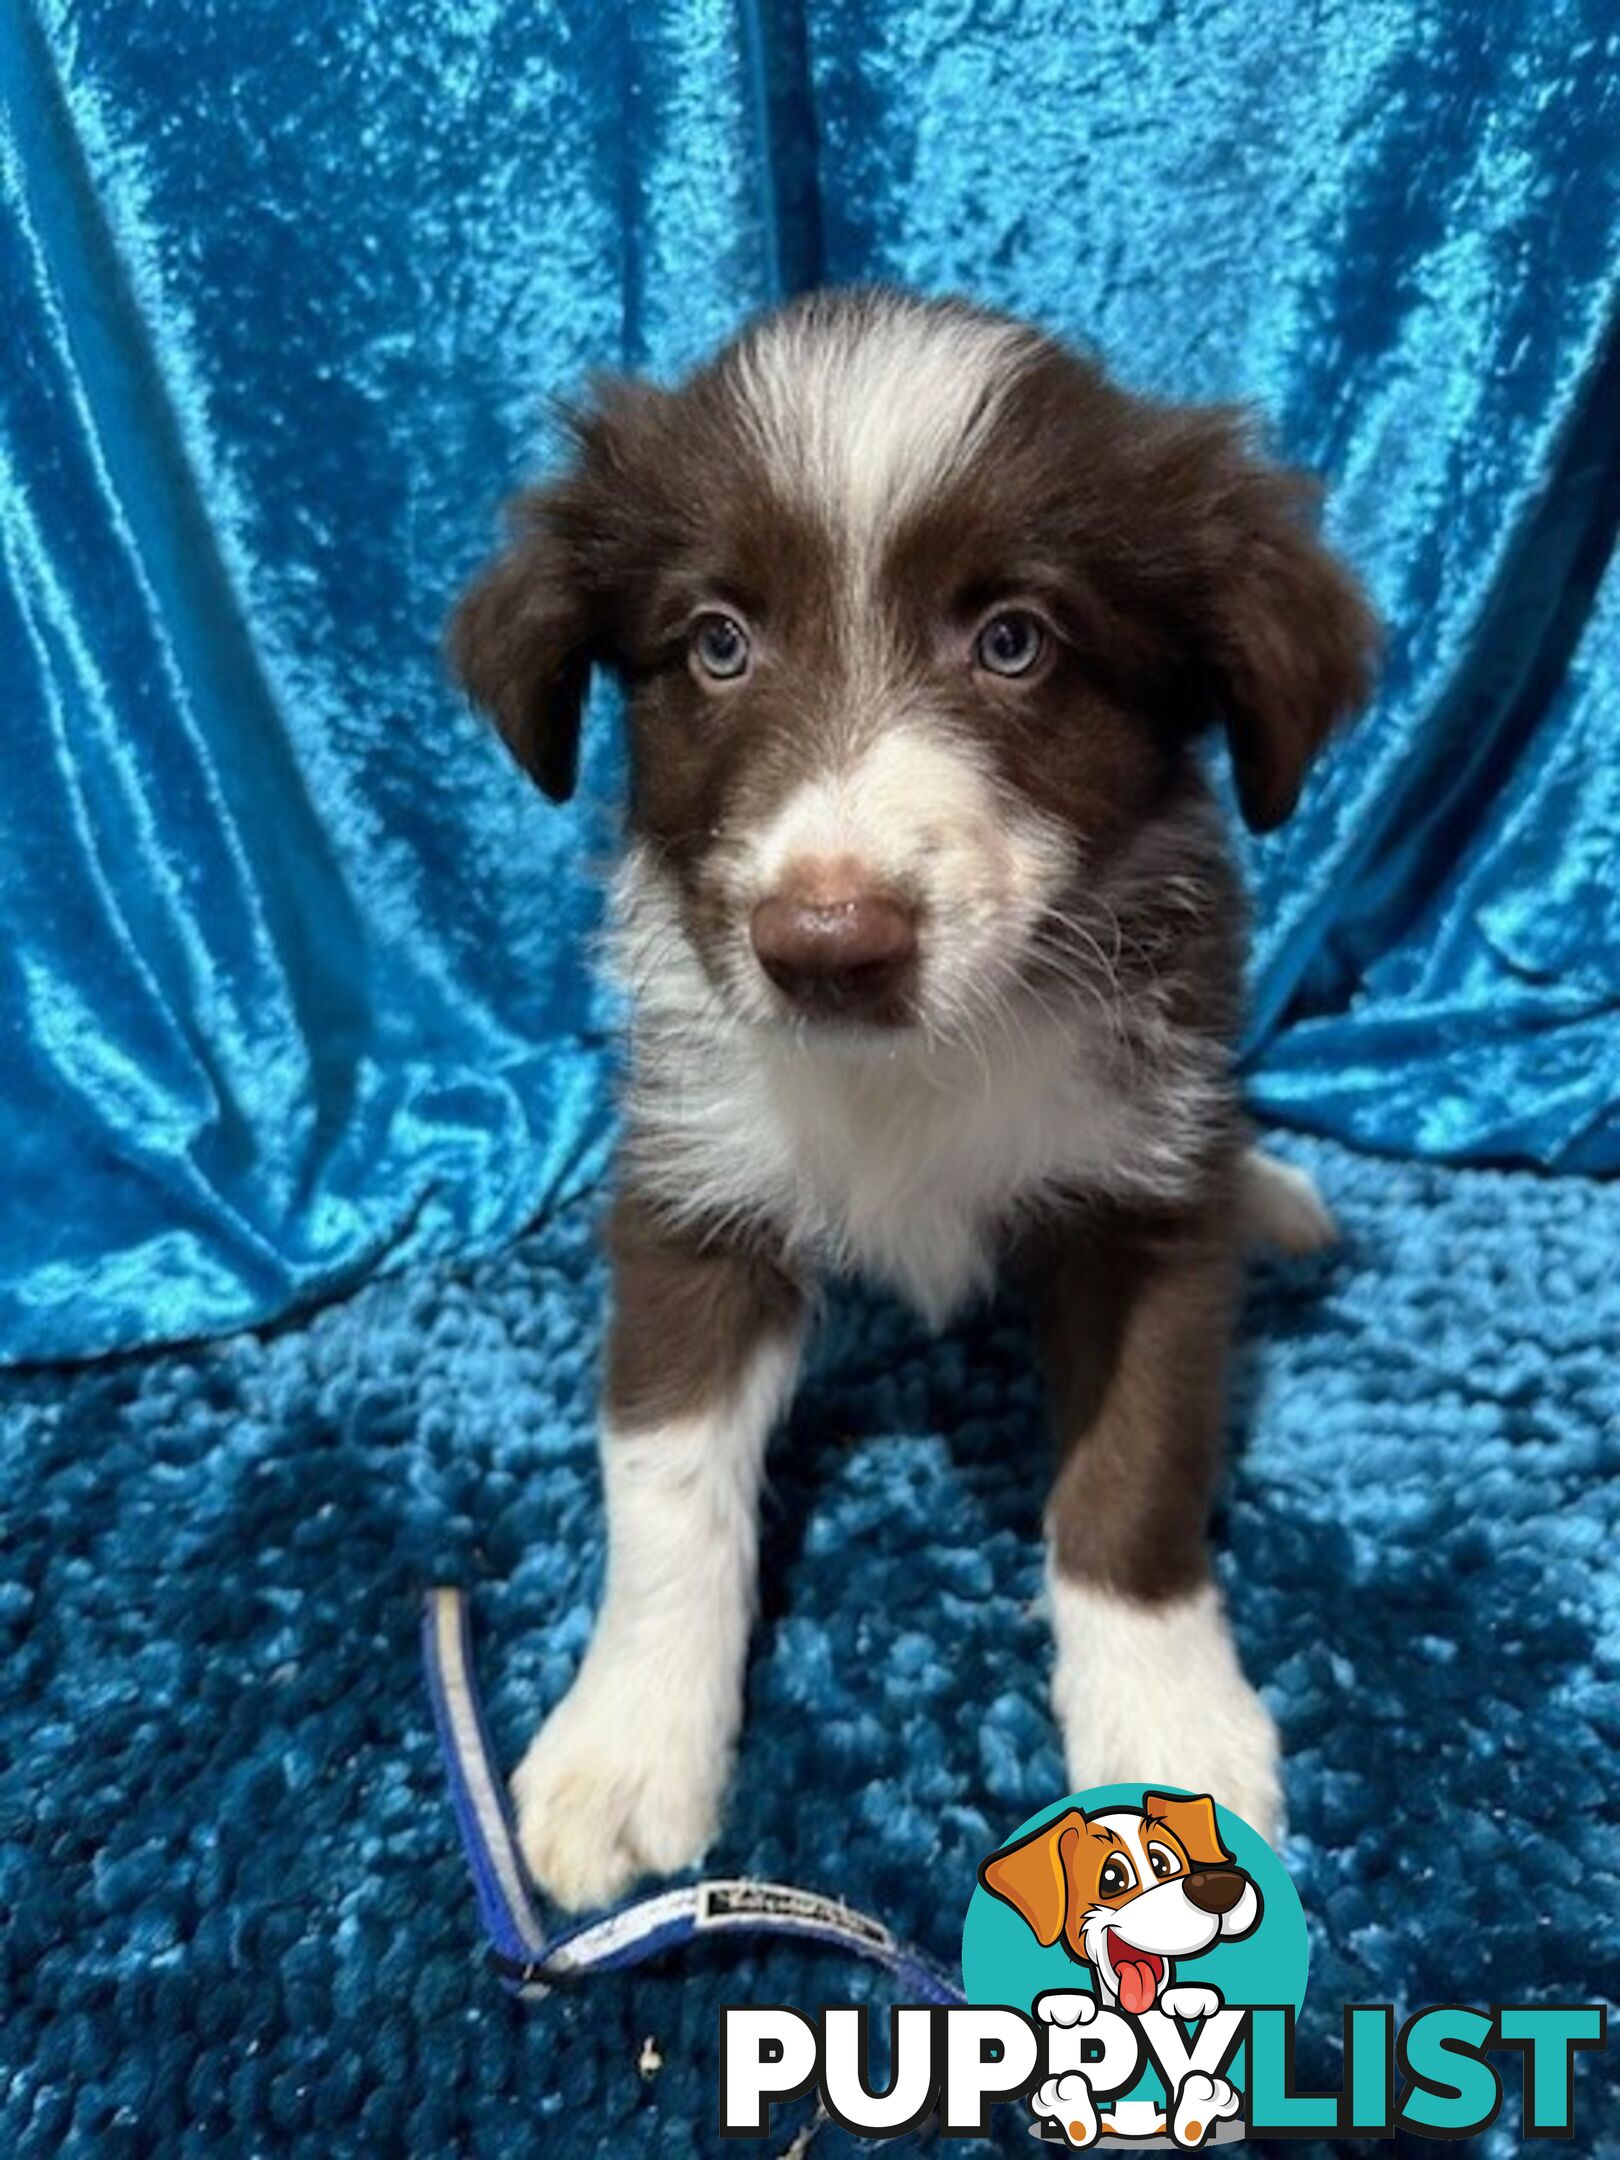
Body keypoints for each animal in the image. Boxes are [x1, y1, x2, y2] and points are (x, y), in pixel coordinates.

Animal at [451, 282, 1373, 1909]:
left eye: (1013, 640)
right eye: (717, 642)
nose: (827, 947)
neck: (911, 1071)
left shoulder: (1142, 1199)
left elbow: (1136, 1475)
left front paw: (1166, 1729)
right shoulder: (693, 1180)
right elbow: (664, 1476)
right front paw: (629, 1741)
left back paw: (1268, 1193)